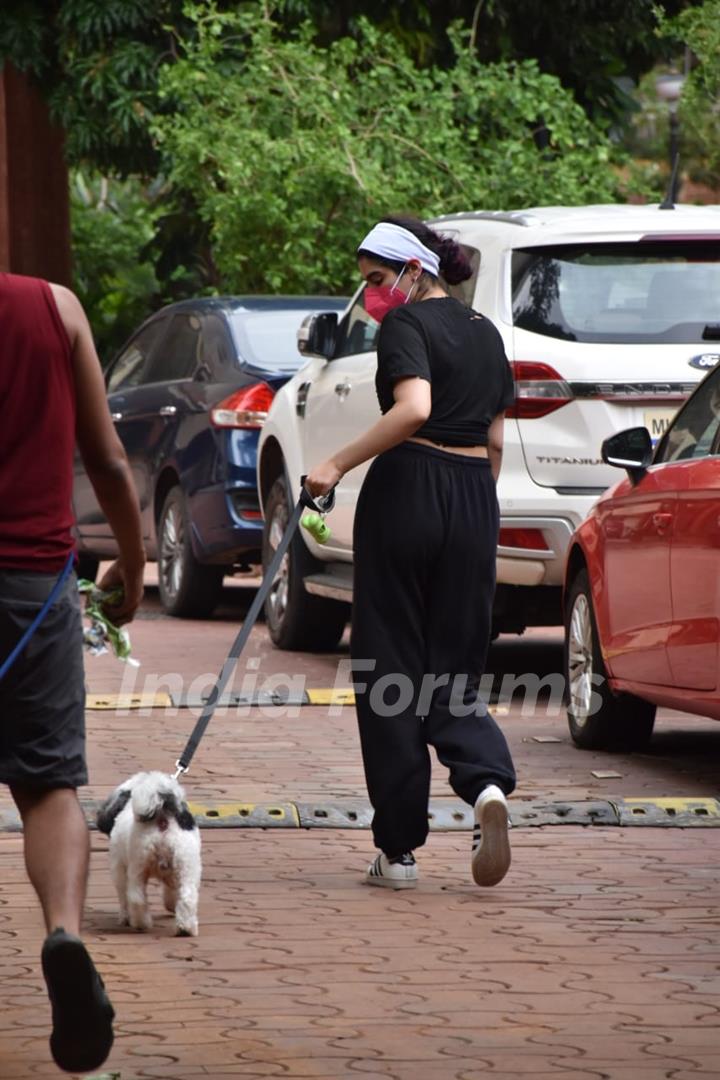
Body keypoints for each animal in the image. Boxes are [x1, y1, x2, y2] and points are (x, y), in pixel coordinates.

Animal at [95, 768, 201, 937]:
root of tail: (163, 819)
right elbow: (171, 891)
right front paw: (171, 905)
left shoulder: (119, 867)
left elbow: (123, 896)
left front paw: (125, 918)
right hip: (186, 863)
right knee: (187, 896)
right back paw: (186, 928)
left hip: (138, 864)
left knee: (136, 896)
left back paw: (140, 923)